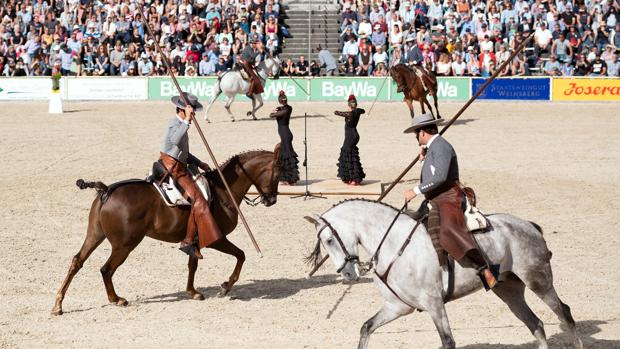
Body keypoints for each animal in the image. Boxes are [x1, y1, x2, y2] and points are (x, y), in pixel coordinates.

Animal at [52, 144, 282, 316]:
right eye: (278, 173)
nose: (272, 200)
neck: (222, 190)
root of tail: (106, 190)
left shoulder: (194, 242)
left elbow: (192, 265)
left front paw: (193, 292)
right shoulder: (216, 239)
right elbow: (240, 255)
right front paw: (226, 286)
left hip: (95, 235)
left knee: (77, 262)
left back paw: (58, 305)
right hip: (124, 245)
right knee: (106, 269)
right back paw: (116, 299)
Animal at [304, 198, 580, 348]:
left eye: (329, 240)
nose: (348, 275)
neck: (394, 244)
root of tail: (529, 225)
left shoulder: (434, 303)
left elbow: (448, 341)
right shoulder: (397, 307)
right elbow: (366, 328)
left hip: (538, 280)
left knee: (565, 313)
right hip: (509, 290)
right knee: (536, 324)